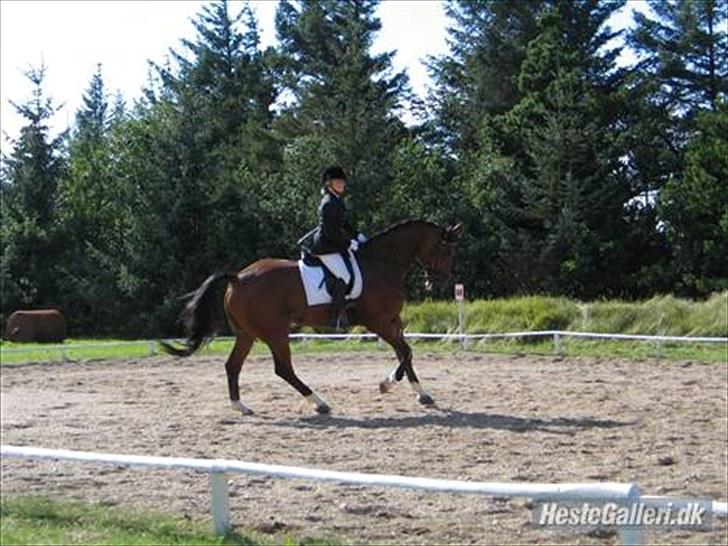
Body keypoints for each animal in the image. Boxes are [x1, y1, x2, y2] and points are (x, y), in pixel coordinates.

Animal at [162, 217, 464, 412]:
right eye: (446, 249)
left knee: (233, 365)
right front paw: (391, 385)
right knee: (282, 368)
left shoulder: (392, 321)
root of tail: (237, 278)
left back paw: (240, 406)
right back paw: (320, 403)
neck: (382, 264)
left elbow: (406, 352)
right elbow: (404, 351)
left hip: (247, 333)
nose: (440, 283)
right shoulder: (378, 322)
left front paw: (416, 392)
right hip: (275, 331)